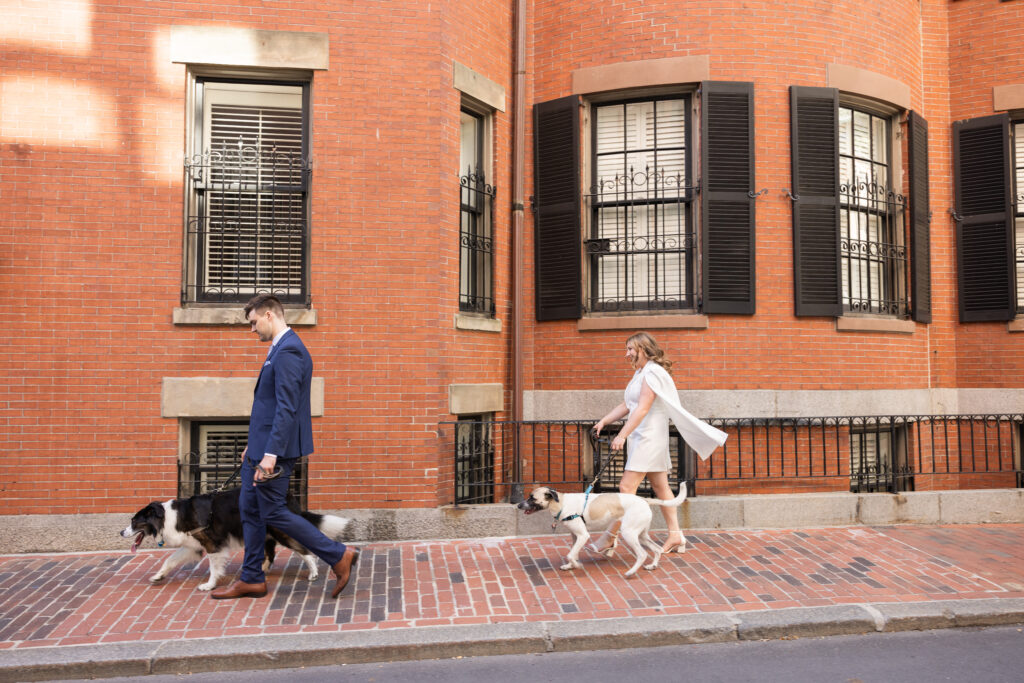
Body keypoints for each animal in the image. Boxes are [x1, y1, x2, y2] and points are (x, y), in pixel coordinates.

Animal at [120, 485, 348, 593]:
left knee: (303, 549)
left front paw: (209, 586)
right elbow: (169, 560)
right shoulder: (193, 545)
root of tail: (288, 496)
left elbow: (214, 568)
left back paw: (313, 572)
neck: (169, 516)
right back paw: (258, 572)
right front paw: (158, 576)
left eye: (134, 521)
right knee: (270, 554)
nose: (121, 533)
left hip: (279, 530)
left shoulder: (213, 544)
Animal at [520, 483, 688, 581]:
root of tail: (643, 500)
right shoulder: (575, 536)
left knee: (642, 554)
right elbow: (573, 553)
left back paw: (630, 573)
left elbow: (570, 554)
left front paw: (577, 566)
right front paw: (570, 566)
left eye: (532, 498)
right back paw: (652, 566)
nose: (518, 505)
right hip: (641, 535)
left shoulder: (583, 535)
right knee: (657, 549)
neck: (561, 503)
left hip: (629, 533)